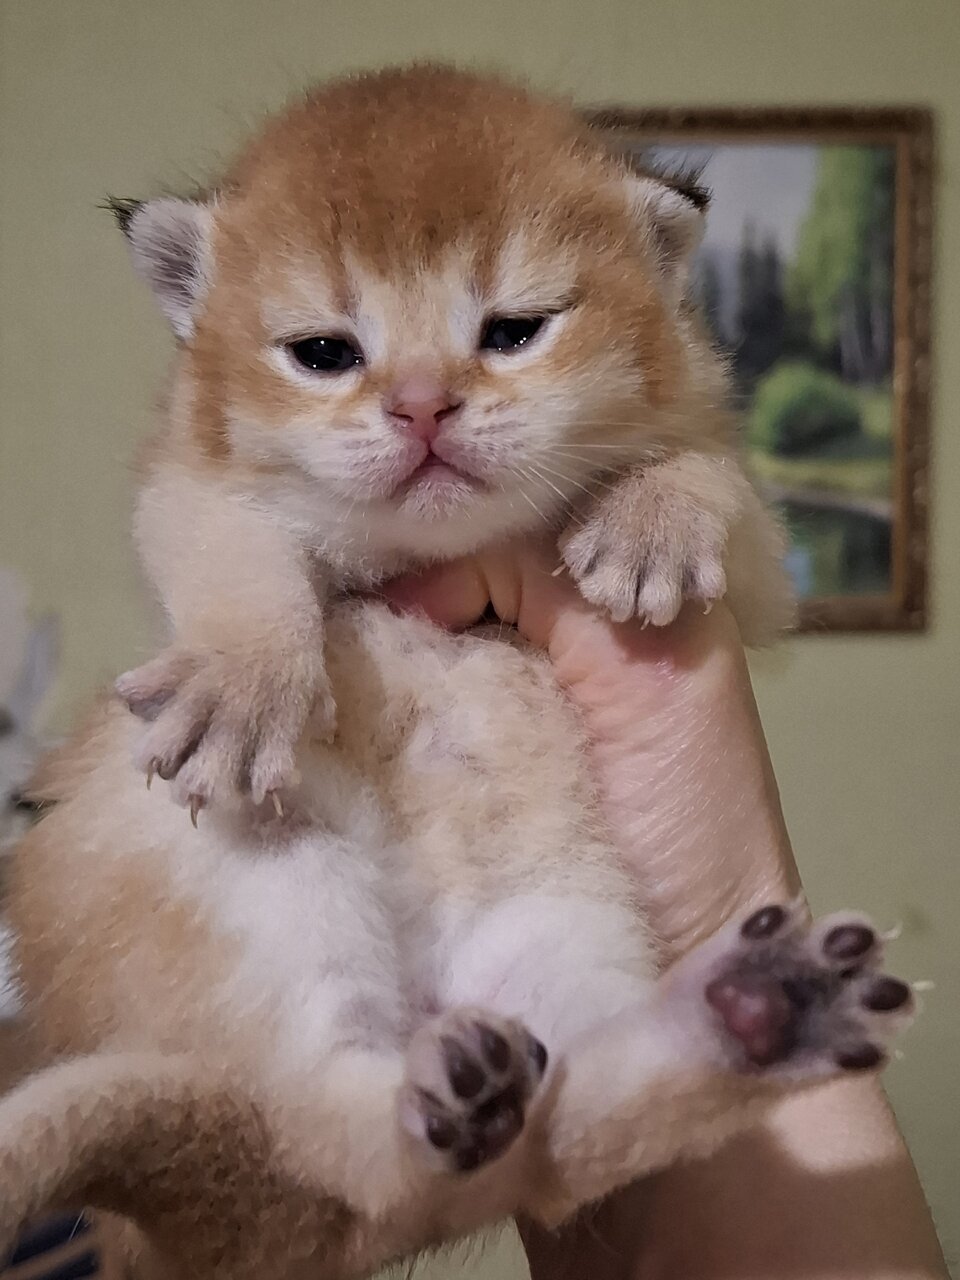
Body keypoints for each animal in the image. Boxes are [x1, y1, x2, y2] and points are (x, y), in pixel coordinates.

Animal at [0, 66, 912, 1280]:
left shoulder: (760, 577)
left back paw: (755, 1012)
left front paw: (649, 525)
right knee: (350, 1143)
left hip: (568, 924)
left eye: (514, 331)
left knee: (534, 1153)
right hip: (259, 884)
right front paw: (243, 688)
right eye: (325, 352)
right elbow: (242, 565)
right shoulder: (190, 489)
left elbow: (710, 469)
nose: (424, 403)